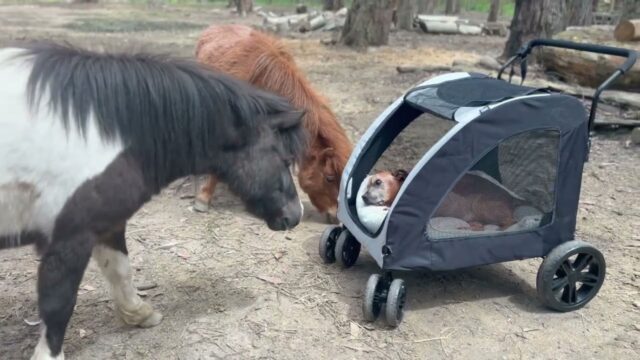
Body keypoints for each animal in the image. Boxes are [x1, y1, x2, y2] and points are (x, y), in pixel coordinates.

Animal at [0, 40, 308, 358]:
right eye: (285, 159)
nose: (297, 214)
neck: (101, 134)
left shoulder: (107, 224)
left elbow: (121, 270)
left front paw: (139, 314)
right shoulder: (69, 240)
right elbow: (58, 304)